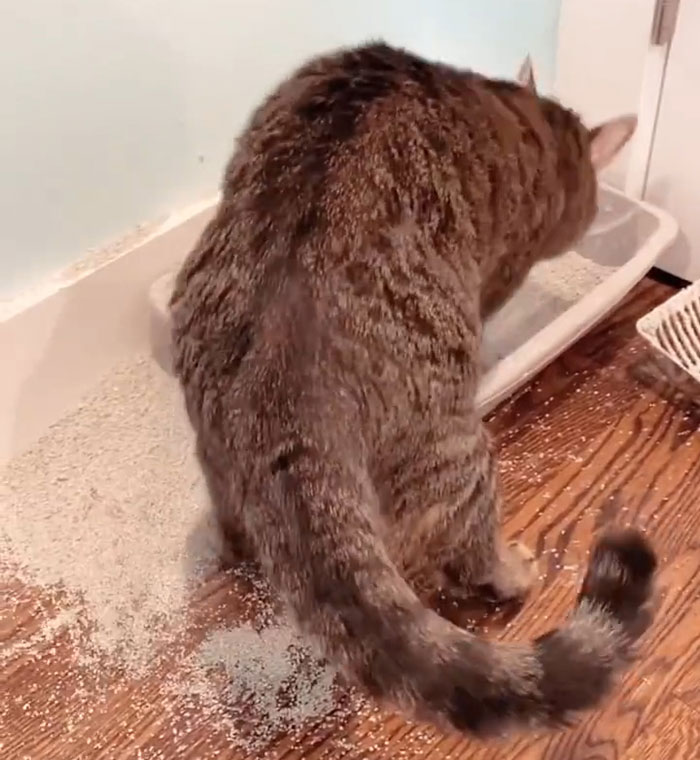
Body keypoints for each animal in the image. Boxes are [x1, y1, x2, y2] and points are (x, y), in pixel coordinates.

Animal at [171, 43, 656, 736]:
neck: (529, 117)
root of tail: (285, 385)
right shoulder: (499, 272)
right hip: (461, 453)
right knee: (467, 551)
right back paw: (511, 570)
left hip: (214, 444)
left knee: (235, 524)